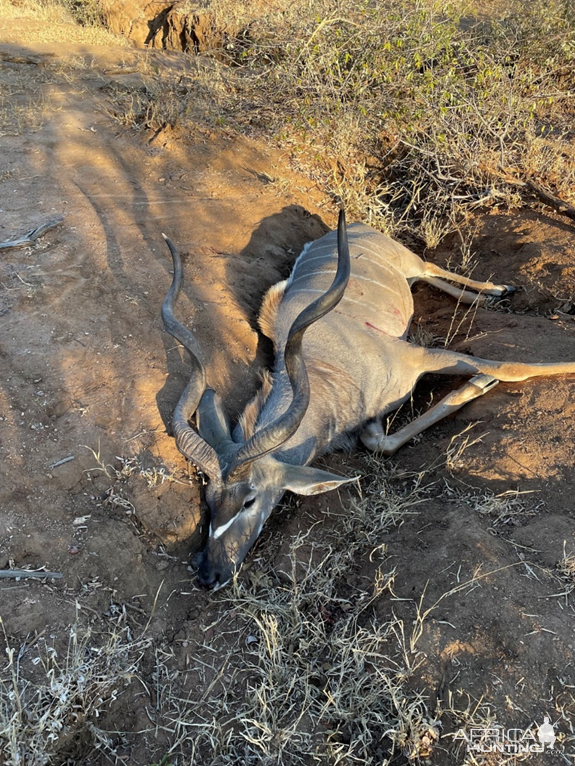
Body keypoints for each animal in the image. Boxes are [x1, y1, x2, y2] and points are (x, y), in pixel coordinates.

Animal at [162, 213, 575, 592]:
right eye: (209, 500)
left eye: (249, 500)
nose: (209, 575)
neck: (324, 375)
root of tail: (351, 227)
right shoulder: (373, 419)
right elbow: (380, 444)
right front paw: (478, 383)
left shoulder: (418, 356)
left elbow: (511, 366)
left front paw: (488, 377)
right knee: (427, 278)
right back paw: (488, 296)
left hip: (407, 260)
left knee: (429, 266)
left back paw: (499, 288)